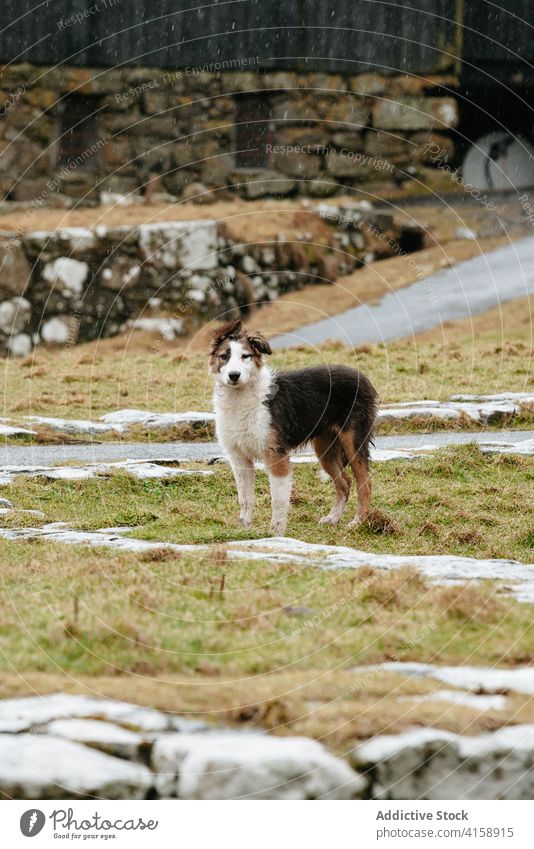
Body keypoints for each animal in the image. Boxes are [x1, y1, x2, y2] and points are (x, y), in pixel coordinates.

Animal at [210, 322, 382, 532]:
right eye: (224, 356)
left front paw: (276, 532)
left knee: (365, 483)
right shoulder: (239, 459)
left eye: (245, 356)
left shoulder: (276, 456)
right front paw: (244, 529)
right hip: (324, 449)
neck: (240, 397)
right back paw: (333, 518)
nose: (234, 376)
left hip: (353, 441)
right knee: (344, 482)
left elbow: (278, 500)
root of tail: (362, 376)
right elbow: (245, 498)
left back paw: (358, 521)